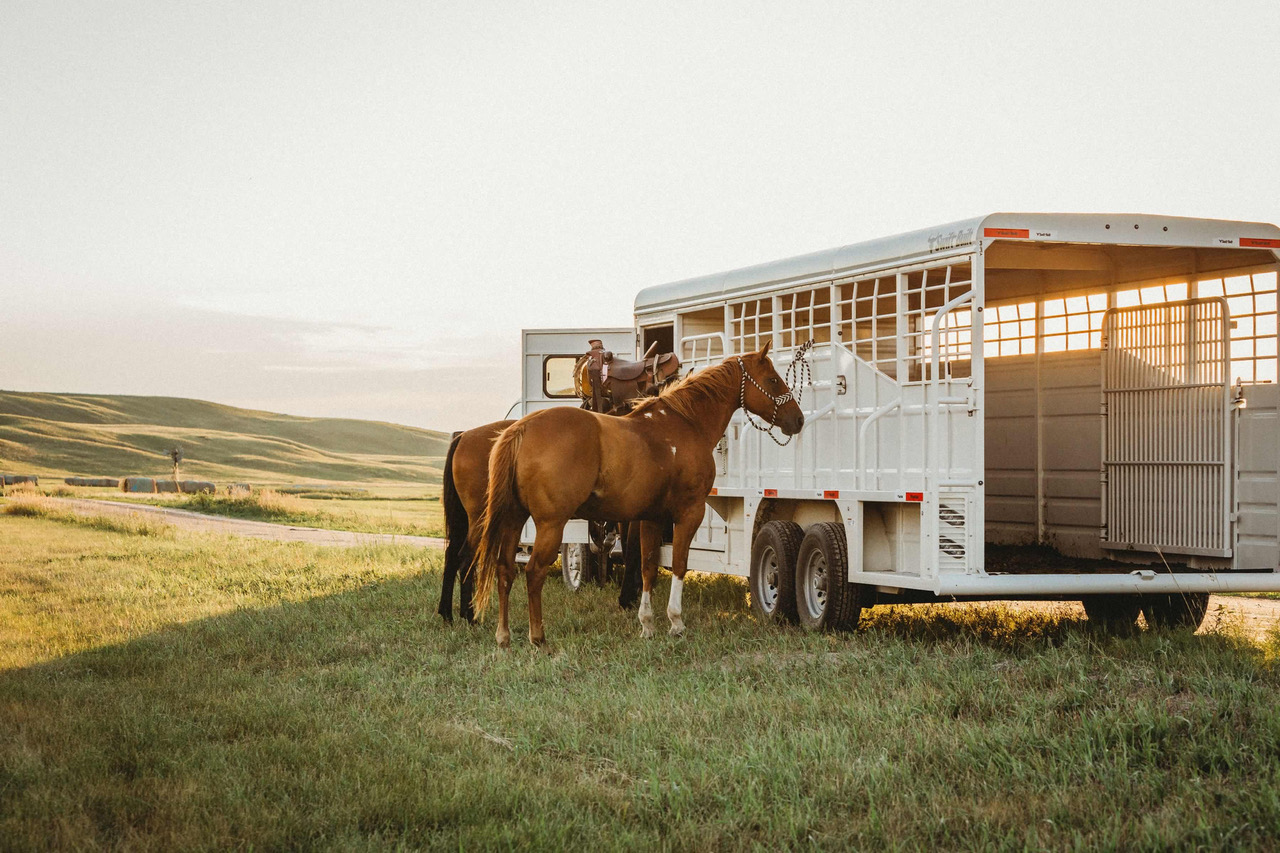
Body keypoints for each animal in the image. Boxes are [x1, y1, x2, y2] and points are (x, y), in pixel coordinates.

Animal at [476, 343, 803, 648]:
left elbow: (647, 568)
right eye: (773, 379)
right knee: (533, 574)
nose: (797, 419)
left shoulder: (651, 518)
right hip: (550, 525)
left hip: (514, 520)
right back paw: (538, 637)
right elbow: (680, 564)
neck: (685, 424)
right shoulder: (689, 513)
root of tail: (521, 428)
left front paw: (647, 624)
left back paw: (503, 637)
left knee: (505, 570)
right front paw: (676, 623)